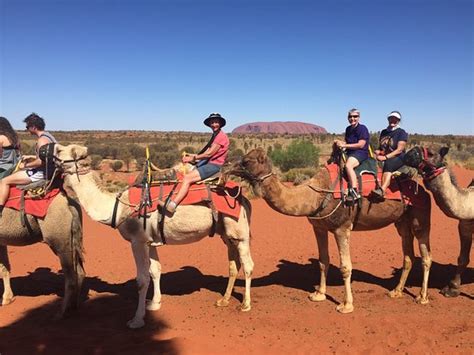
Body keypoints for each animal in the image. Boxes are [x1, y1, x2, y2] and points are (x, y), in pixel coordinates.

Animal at [52, 143, 256, 330]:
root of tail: (244, 199)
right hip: (227, 234)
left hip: (240, 232)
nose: (51, 151)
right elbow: (155, 271)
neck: (118, 208)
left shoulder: (137, 240)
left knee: (247, 265)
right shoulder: (149, 241)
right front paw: (154, 304)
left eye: (60, 150)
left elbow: (142, 279)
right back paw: (224, 300)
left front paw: (136, 320)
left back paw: (245, 305)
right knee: (233, 264)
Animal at [224, 148, 432, 314]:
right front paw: (319, 294)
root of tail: (422, 190)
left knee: (426, 256)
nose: (226, 166)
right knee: (408, 256)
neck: (316, 195)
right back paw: (396, 292)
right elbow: (323, 261)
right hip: (402, 222)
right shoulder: (319, 228)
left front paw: (346, 305)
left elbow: (346, 266)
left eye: (246, 161)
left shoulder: (342, 228)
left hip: (420, 217)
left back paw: (422, 297)